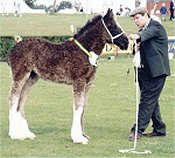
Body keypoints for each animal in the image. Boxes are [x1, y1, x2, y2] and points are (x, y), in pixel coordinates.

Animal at [7, 8, 129, 144]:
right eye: (112, 26)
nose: (127, 42)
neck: (85, 52)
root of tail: (13, 48)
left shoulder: (88, 82)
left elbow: (83, 107)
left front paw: (83, 135)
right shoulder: (79, 81)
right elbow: (78, 106)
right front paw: (78, 138)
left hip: (32, 77)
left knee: (21, 99)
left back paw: (26, 133)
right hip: (20, 75)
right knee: (13, 98)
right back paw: (14, 134)